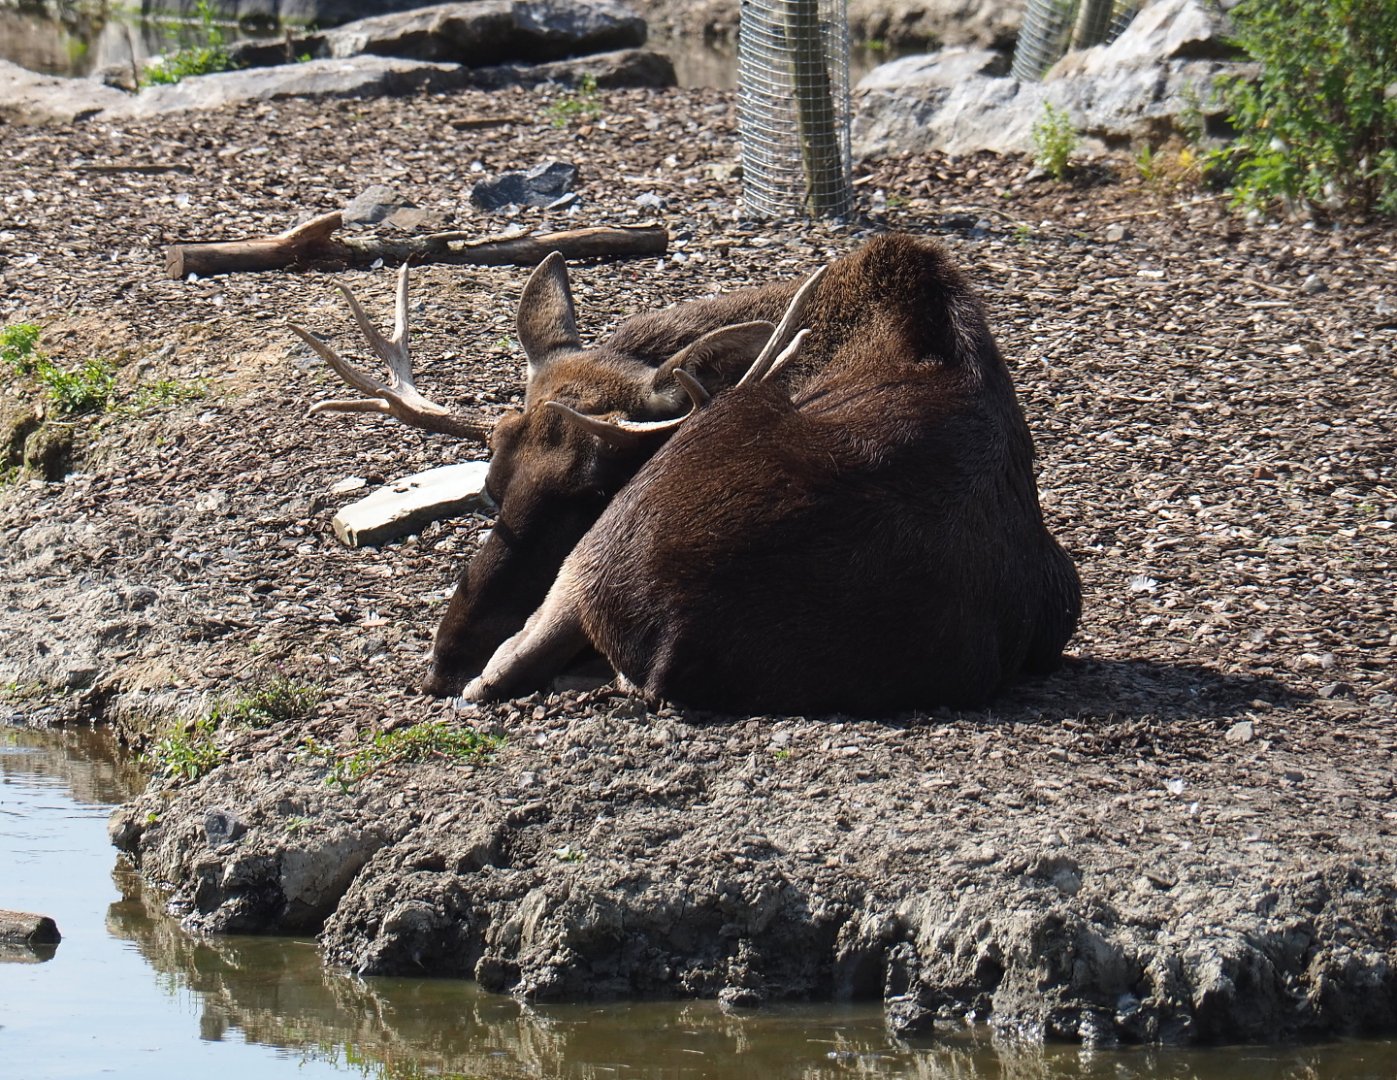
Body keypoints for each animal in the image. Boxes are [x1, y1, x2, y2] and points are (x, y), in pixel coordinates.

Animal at [290, 234, 1079, 708]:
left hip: (593, 568)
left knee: (512, 666)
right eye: (488, 490)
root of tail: (673, 641)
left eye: (593, 491)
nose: (444, 661)